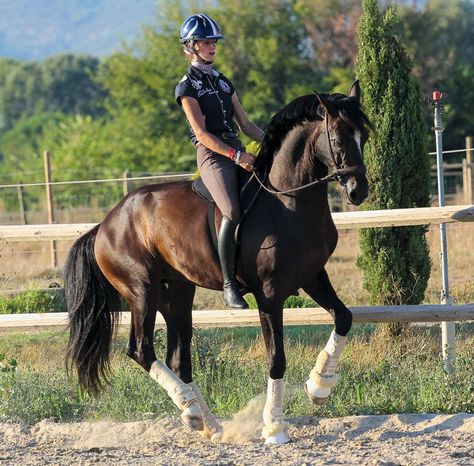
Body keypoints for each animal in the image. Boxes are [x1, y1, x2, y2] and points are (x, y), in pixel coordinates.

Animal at [65, 82, 372, 446]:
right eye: (337, 139)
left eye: (364, 137)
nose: (358, 191)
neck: (287, 202)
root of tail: (105, 224)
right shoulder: (269, 294)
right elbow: (277, 359)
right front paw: (274, 428)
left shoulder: (313, 276)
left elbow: (344, 317)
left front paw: (318, 386)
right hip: (141, 292)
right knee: (141, 351)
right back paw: (190, 407)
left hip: (177, 293)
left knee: (178, 359)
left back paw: (205, 421)